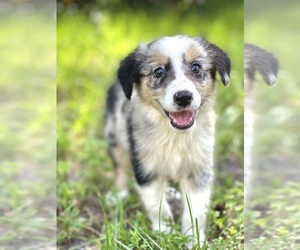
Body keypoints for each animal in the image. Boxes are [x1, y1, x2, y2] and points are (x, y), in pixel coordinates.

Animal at [104, 35, 231, 248]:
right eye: (158, 71)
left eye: (196, 67)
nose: (184, 97)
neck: (174, 135)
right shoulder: (146, 171)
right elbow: (159, 208)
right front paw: (165, 235)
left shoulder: (199, 171)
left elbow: (195, 213)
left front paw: (195, 240)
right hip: (115, 139)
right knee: (120, 167)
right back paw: (118, 194)